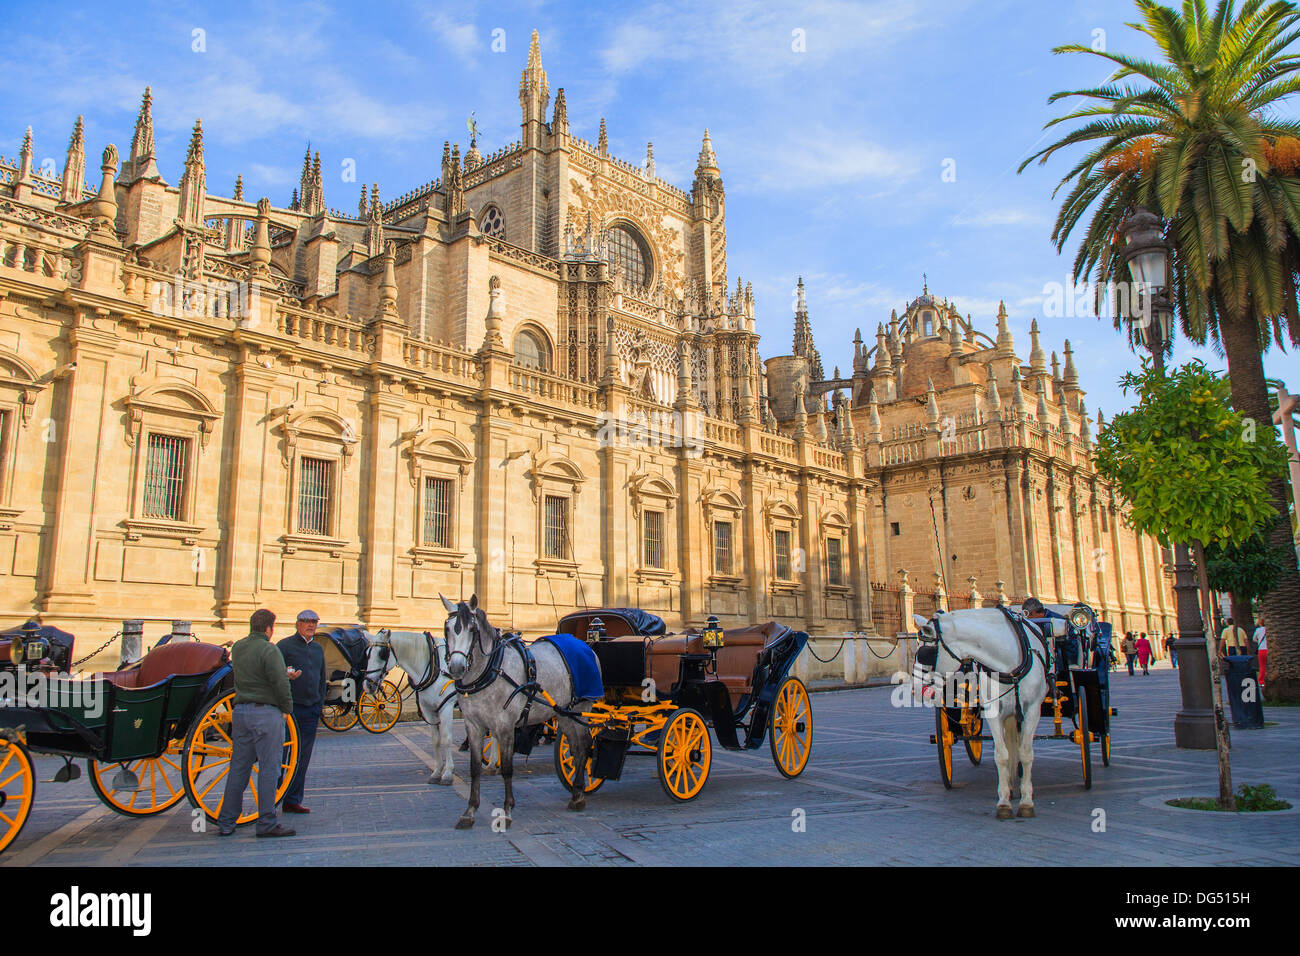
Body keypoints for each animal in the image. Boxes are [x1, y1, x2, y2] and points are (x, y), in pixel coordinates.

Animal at [915, 608, 1055, 816]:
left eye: (925, 654)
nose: (916, 690)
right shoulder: (993, 710)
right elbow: (1001, 755)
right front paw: (1004, 801)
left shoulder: (1032, 710)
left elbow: (1026, 753)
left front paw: (1026, 801)